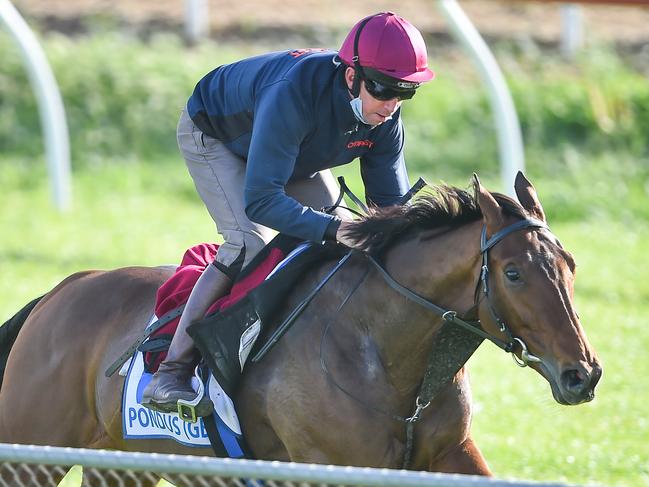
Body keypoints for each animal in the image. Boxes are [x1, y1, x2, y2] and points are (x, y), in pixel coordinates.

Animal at [0, 173, 600, 478]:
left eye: (571, 265)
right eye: (514, 273)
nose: (583, 375)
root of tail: (59, 292)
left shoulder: (452, 454)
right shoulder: (326, 463)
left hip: (120, 459)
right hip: (31, 444)